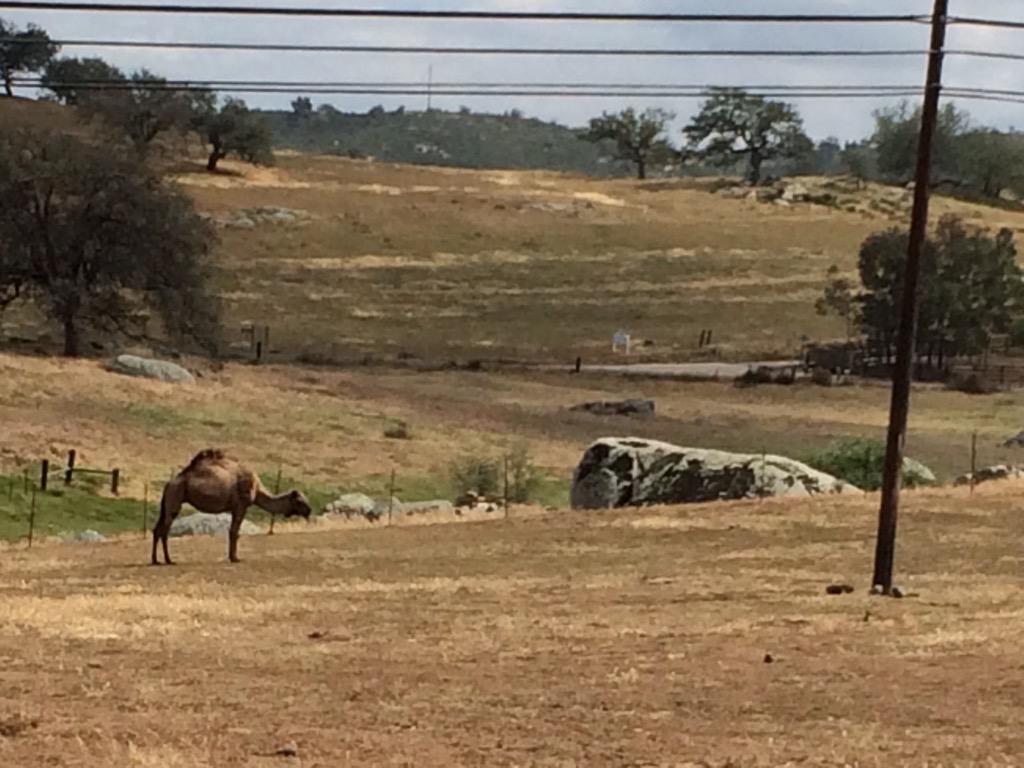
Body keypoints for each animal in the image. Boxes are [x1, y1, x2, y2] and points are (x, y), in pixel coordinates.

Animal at [152, 449, 311, 565]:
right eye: (300, 501)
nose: (309, 510)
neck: (257, 489)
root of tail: (168, 484)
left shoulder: (235, 508)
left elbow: (232, 531)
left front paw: (231, 556)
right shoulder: (241, 505)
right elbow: (235, 532)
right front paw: (235, 558)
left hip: (167, 503)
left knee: (156, 529)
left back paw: (156, 560)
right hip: (174, 499)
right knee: (164, 531)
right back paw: (168, 560)